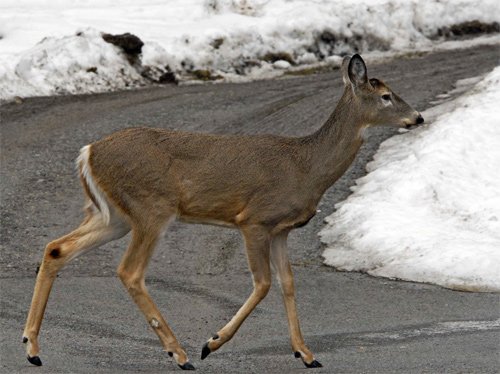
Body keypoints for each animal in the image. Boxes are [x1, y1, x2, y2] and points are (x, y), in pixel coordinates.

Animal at [22, 54, 422, 370]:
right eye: (386, 96)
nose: (417, 117)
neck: (306, 167)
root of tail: (87, 152)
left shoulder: (281, 229)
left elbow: (288, 283)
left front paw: (306, 353)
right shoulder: (255, 219)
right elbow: (262, 284)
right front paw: (212, 343)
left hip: (113, 216)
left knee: (57, 249)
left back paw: (32, 348)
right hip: (151, 208)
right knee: (130, 271)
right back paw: (180, 354)